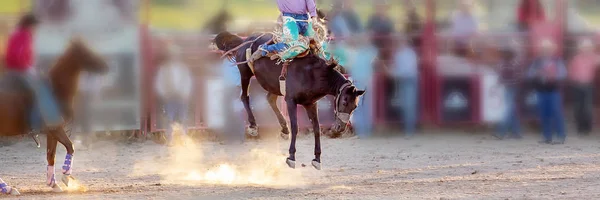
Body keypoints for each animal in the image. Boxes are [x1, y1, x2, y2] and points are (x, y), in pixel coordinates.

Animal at [0, 36, 106, 195]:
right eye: (85, 51)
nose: (105, 65)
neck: (56, 89)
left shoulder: (51, 133)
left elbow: (51, 156)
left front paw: (54, 184)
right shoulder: (56, 128)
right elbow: (70, 146)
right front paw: (66, 177)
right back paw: (7, 188)